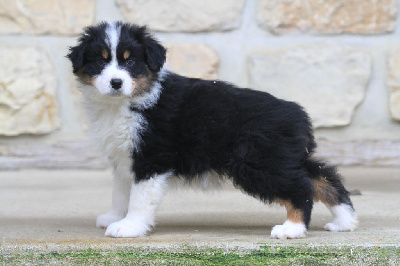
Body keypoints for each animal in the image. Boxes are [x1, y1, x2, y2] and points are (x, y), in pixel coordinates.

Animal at [67, 21, 358, 239]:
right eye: (100, 62)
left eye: (130, 62)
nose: (116, 82)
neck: (124, 103)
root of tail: (297, 113)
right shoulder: (124, 157)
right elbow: (121, 192)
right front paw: (115, 217)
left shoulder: (152, 157)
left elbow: (139, 198)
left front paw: (130, 227)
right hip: (282, 157)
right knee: (323, 177)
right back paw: (344, 221)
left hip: (258, 163)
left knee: (301, 187)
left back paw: (292, 229)